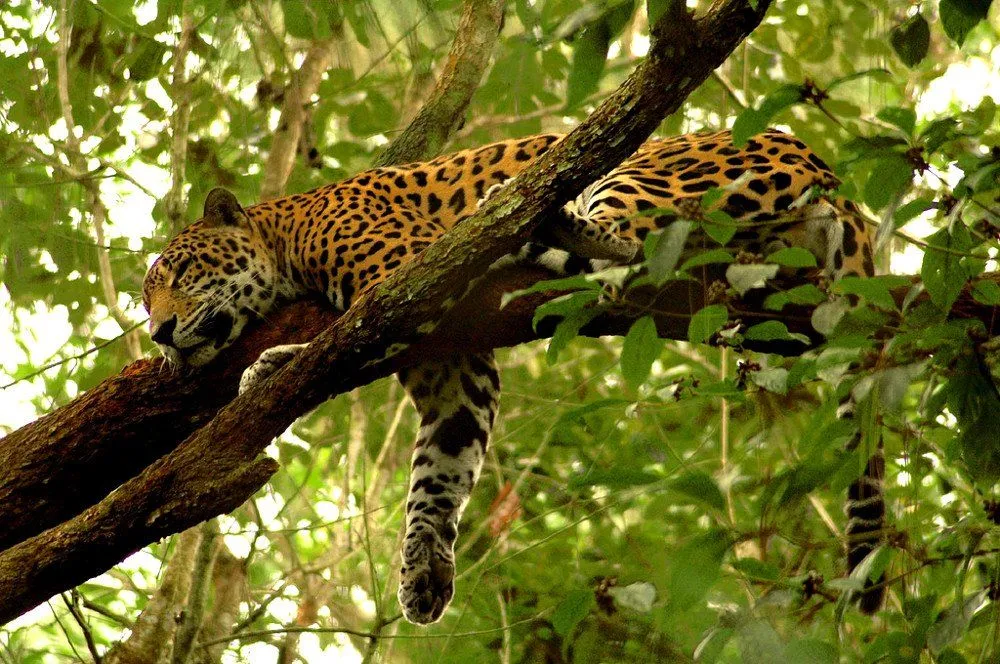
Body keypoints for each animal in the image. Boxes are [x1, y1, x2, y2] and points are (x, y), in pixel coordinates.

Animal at [142, 128, 883, 624]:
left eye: (181, 271)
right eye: (145, 300)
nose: (158, 334)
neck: (285, 232)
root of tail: (834, 177)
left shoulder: (404, 279)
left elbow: (344, 341)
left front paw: (272, 364)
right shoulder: (454, 376)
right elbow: (439, 473)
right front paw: (423, 572)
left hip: (646, 172)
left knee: (627, 245)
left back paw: (524, 214)